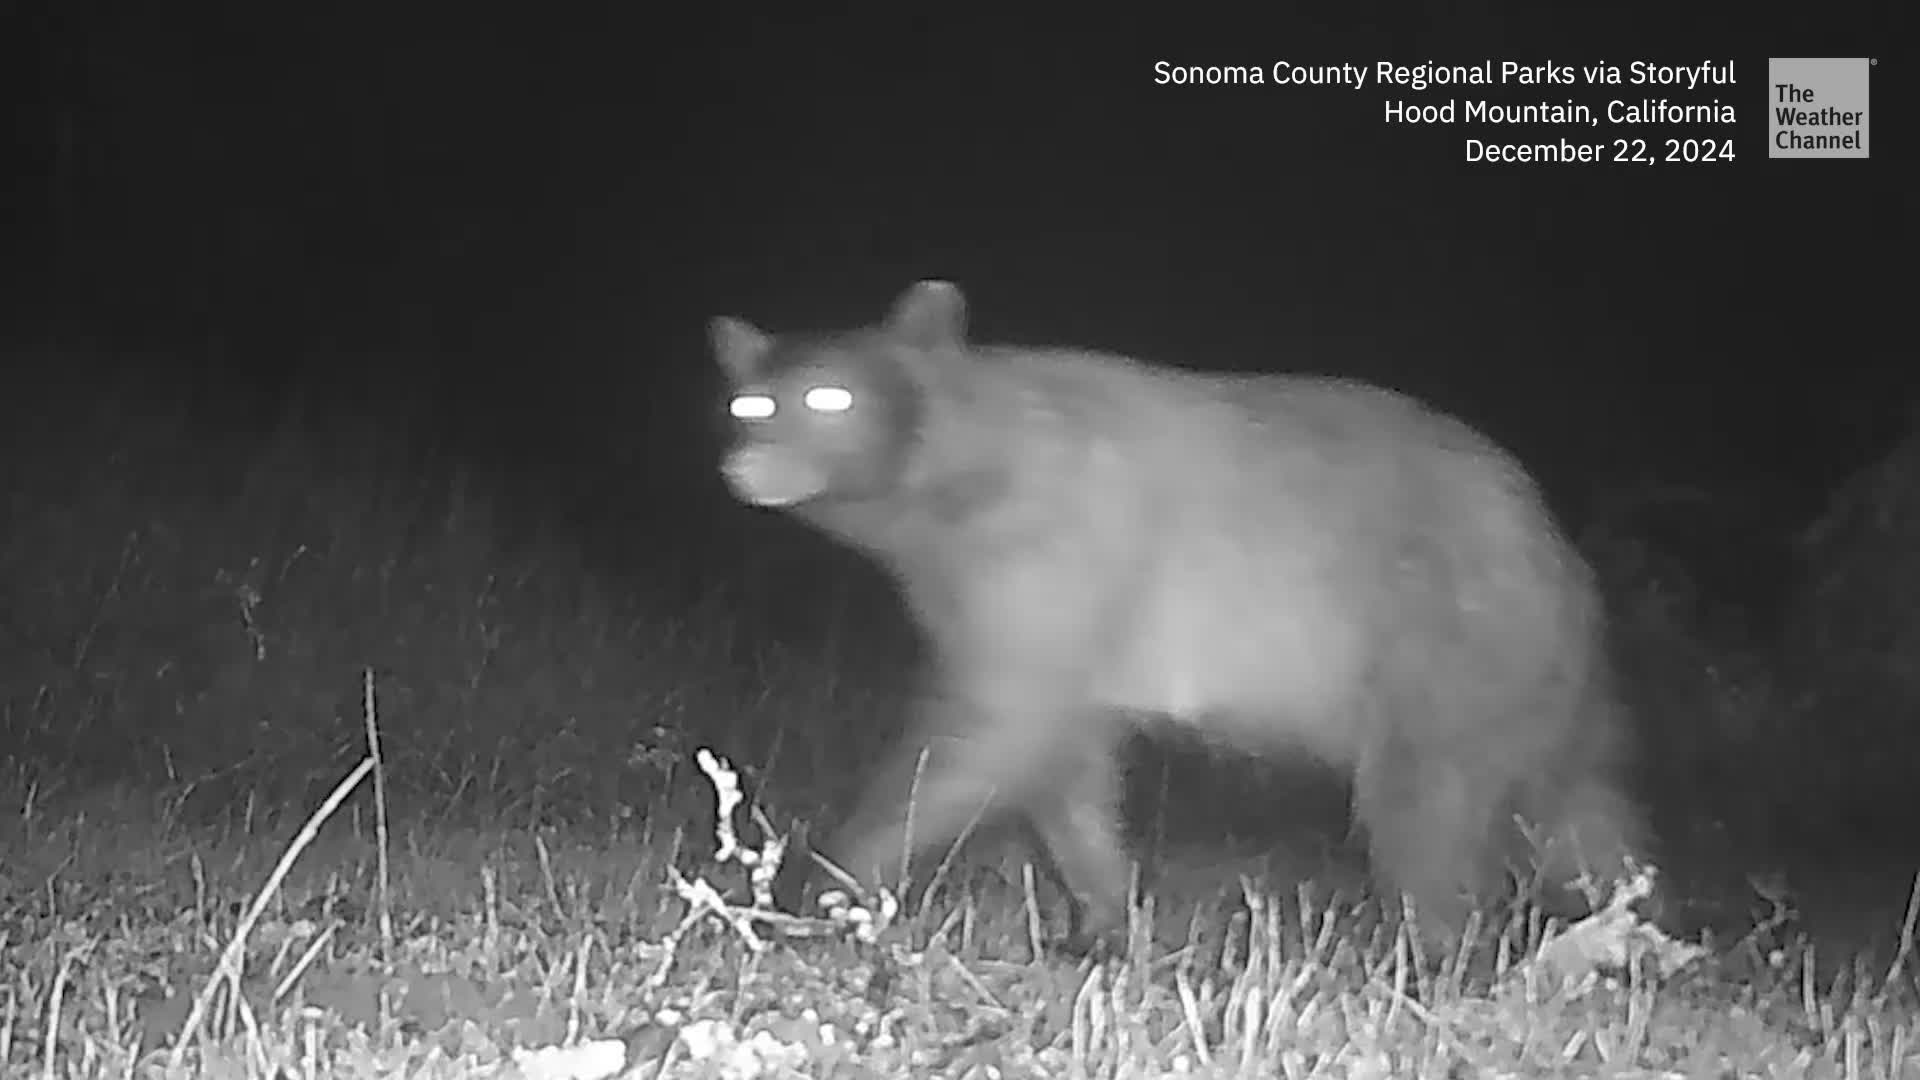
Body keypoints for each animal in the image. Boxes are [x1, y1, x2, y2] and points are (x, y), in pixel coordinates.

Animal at [710, 280, 1644, 951]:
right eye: (749, 405)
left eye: (831, 399)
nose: (746, 467)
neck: (953, 485)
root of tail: (1562, 557)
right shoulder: (1005, 600)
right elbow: (1066, 770)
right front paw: (1099, 923)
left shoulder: (1050, 555)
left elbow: (981, 733)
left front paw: (817, 885)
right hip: (1537, 688)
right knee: (1582, 813)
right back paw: (1633, 927)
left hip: (1445, 647)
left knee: (1428, 811)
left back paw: (1436, 953)